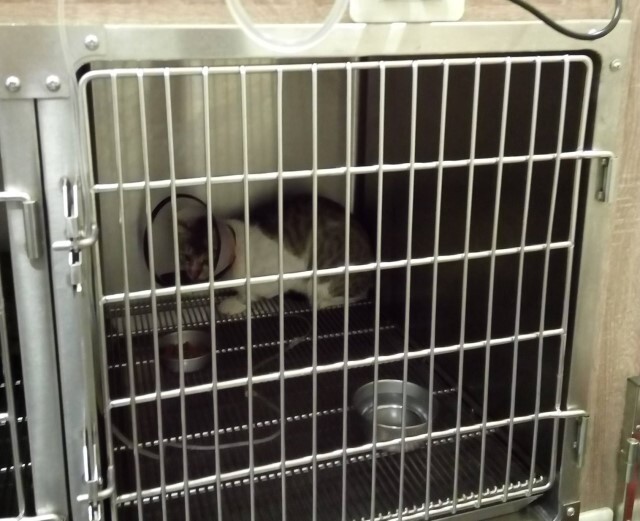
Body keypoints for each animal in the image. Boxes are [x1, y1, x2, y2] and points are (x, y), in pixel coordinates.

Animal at [178, 195, 374, 316]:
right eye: (187, 258)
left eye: (206, 260)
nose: (192, 273)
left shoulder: (288, 270)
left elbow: (253, 291)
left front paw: (237, 302)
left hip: (324, 280)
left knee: (356, 294)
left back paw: (323, 302)